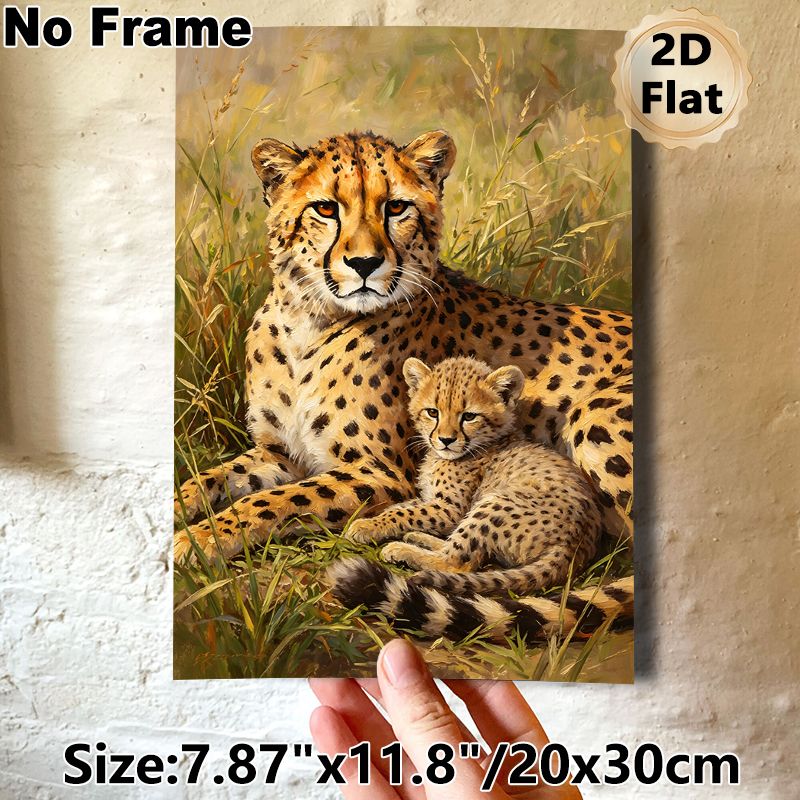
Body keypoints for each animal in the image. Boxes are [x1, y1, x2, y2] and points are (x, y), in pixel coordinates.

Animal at [174, 129, 634, 564]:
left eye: (396, 208)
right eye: (325, 209)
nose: (364, 264)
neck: (310, 321)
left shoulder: (380, 474)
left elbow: (272, 501)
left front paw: (197, 539)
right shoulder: (281, 451)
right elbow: (210, 478)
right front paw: (180, 513)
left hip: (592, 416)